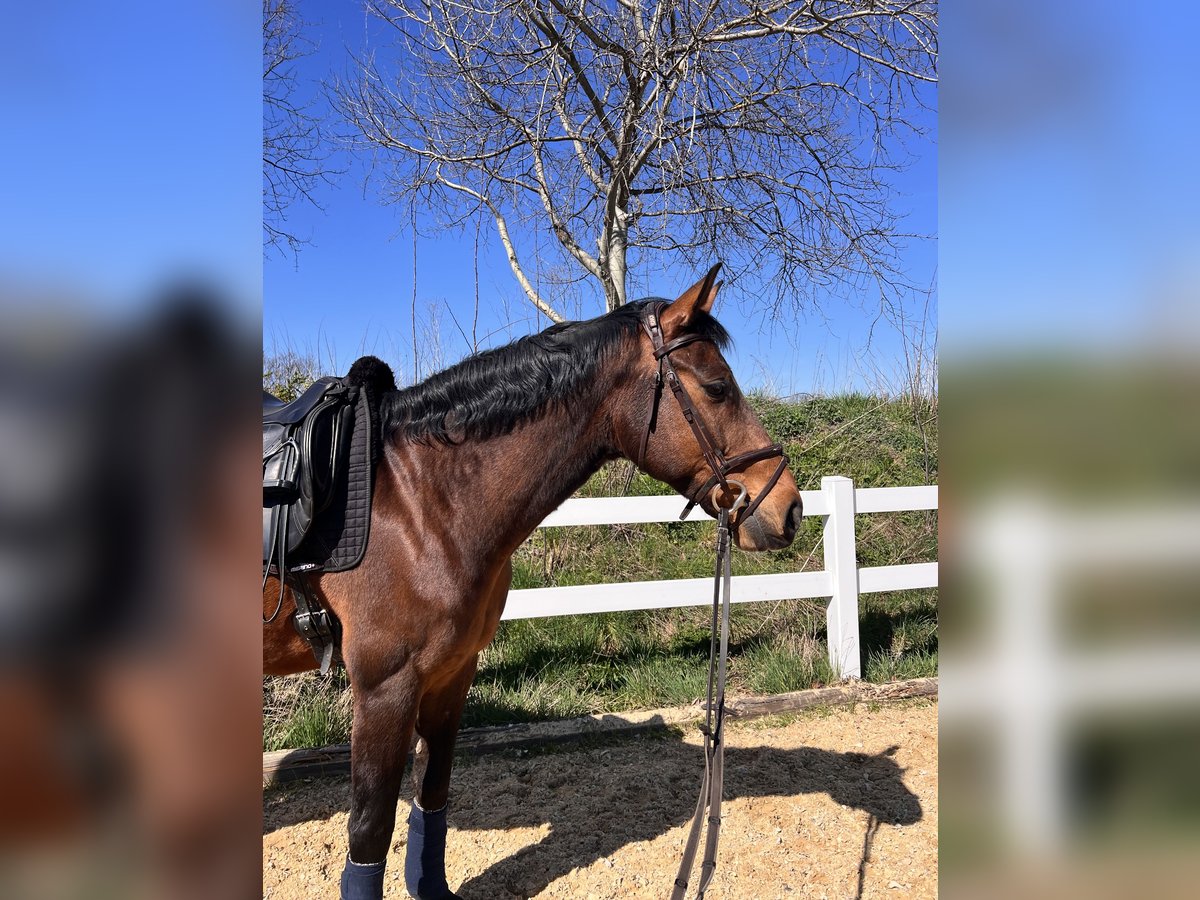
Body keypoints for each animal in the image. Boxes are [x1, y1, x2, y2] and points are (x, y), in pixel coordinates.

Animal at [263, 266, 803, 899]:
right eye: (718, 387)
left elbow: (432, 797)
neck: (420, 503)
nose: (789, 508)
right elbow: (370, 831)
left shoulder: (450, 675)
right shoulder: (383, 689)